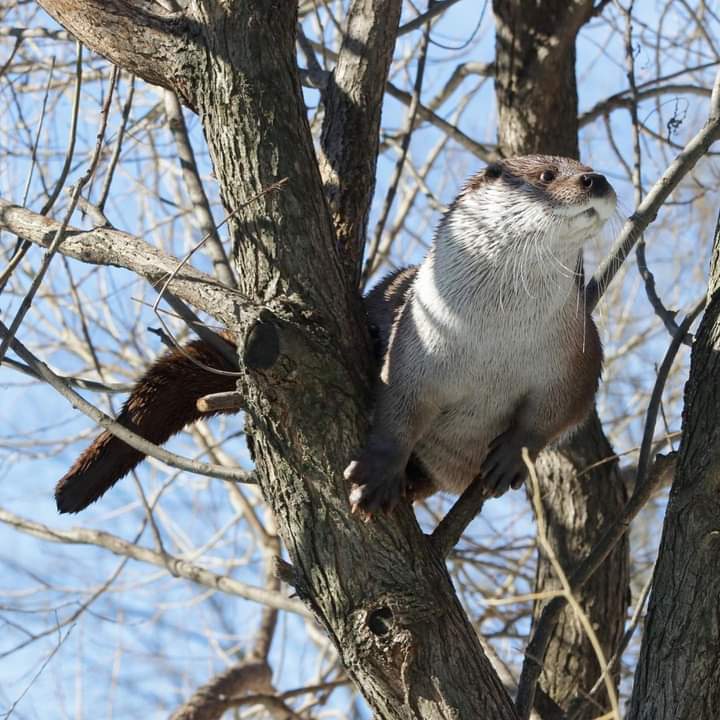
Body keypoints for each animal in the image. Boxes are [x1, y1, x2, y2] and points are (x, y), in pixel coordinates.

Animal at [55, 155, 615, 515]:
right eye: (547, 174)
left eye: (583, 164)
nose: (596, 179)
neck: (492, 344)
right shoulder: (414, 346)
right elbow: (397, 409)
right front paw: (377, 476)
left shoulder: (576, 356)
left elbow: (559, 413)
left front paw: (511, 455)